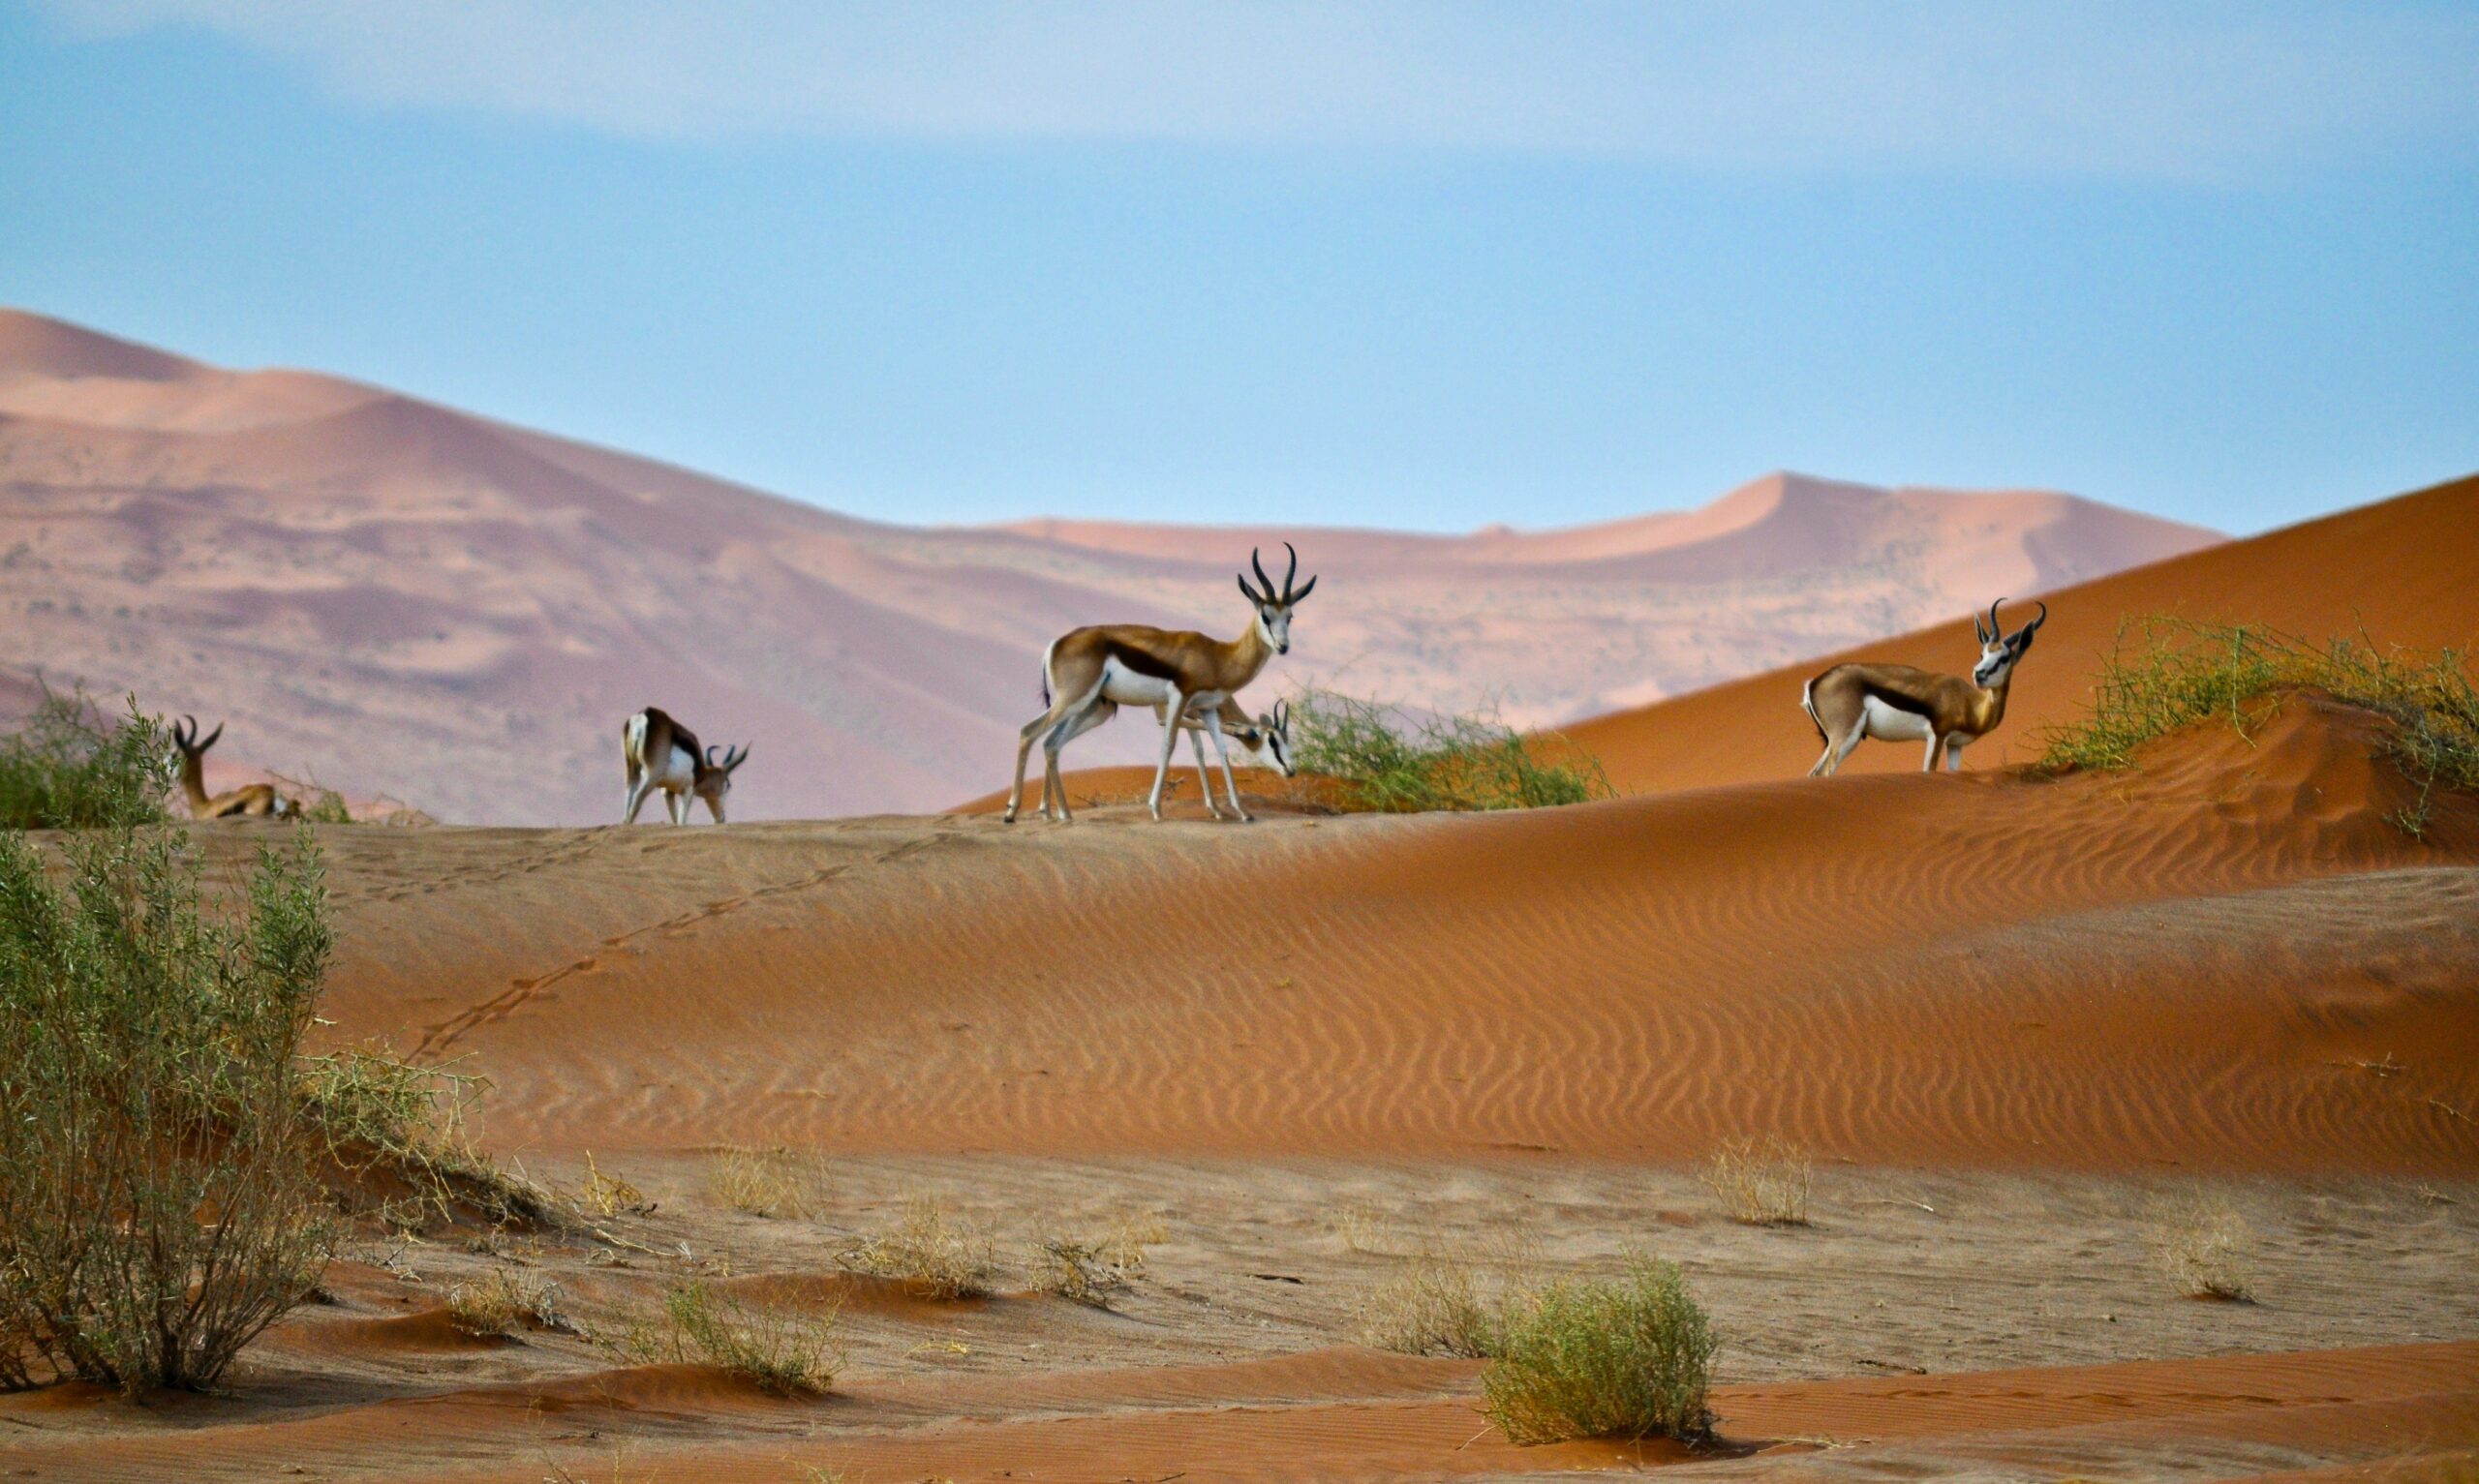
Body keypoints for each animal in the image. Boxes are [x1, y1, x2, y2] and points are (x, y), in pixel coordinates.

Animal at [620, 708, 744, 822]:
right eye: (728, 786)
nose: (722, 818)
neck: (699, 772)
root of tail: (644, 715)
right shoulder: (688, 791)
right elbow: (682, 822)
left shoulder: (667, 791)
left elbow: (675, 821)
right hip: (652, 775)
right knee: (637, 797)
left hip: (632, 768)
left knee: (628, 801)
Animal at [1001, 545, 1318, 822]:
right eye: (1265, 615)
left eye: (1289, 616)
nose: (1283, 646)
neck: (1218, 655)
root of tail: (1056, 643)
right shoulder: (1177, 701)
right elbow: (1169, 745)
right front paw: (1156, 809)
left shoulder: (1206, 708)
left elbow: (1219, 749)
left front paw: (1241, 812)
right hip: (1073, 700)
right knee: (1029, 732)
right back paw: (1012, 812)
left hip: (1089, 708)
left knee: (1051, 743)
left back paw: (1061, 814)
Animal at [1804, 596, 2052, 777]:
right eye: (1982, 654)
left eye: (2004, 658)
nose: (1979, 673)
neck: (1970, 703)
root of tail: (1814, 683)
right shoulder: (1937, 736)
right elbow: (1928, 771)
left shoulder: (1955, 745)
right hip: (1845, 738)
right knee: (1823, 774)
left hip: (1834, 742)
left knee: (1814, 774)